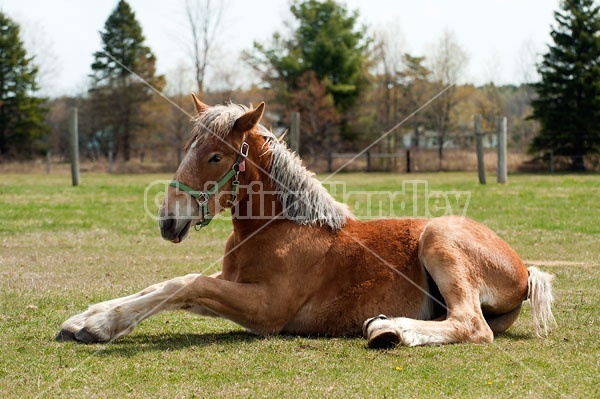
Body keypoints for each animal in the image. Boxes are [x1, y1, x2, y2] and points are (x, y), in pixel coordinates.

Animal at [57, 97, 556, 350]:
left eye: (215, 156)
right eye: (186, 148)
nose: (168, 220)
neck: (280, 227)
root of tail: (524, 270)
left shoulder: (267, 308)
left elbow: (185, 283)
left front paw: (100, 325)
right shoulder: (234, 283)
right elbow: (164, 286)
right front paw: (88, 320)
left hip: (439, 236)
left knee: (472, 324)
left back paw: (391, 330)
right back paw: (386, 327)